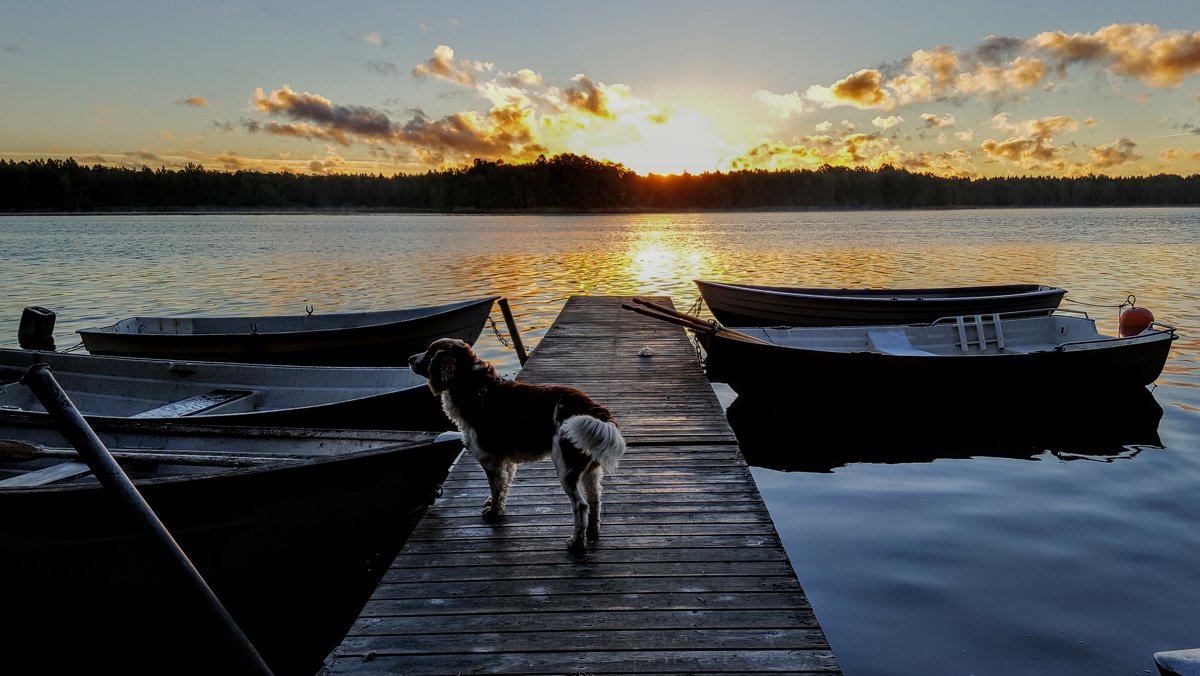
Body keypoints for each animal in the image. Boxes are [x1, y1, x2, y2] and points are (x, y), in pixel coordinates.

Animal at [410, 341, 624, 552]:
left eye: (429, 351)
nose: (410, 358)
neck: (475, 386)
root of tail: (592, 409)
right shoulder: (504, 458)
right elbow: (503, 485)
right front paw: (494, 504)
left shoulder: (489, 458)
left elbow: (496, 487)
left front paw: (494, 512)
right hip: (590, 469)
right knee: (595, 499)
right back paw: (592, 531)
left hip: (566, 468)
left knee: (581, 505)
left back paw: (576, 542)